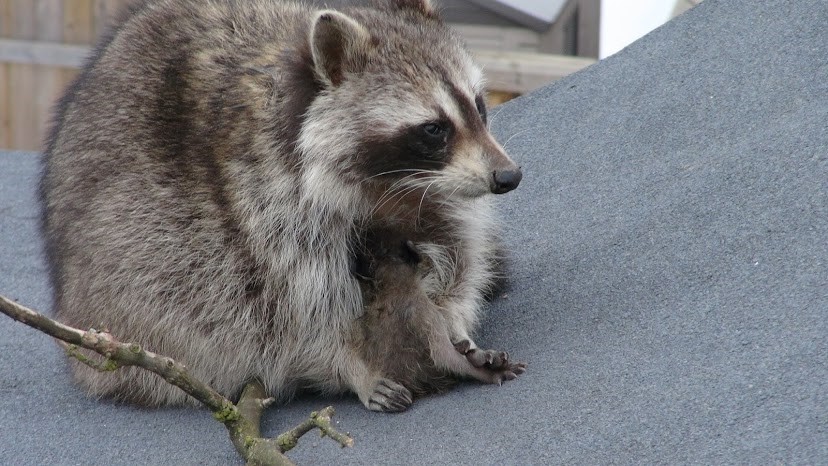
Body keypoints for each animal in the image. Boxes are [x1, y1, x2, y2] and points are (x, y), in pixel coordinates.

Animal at [40, 0, 524, 410]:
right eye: (434, 129)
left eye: (479, 106)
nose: (508, 176)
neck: (390, 186)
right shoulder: (259, 207)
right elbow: (282, 320)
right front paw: (350, 366)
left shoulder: (435, 199)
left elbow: (458, 261)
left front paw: (452, 323)